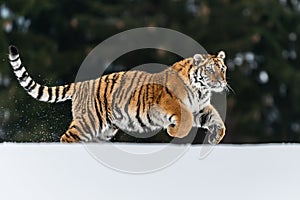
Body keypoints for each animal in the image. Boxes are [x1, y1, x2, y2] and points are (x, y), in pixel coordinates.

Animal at [8, 45, 229, 144]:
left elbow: (217, 120)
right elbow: (184, 119)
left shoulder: (201, 108)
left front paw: (215, 137)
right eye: (210, 70)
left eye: (223, 69)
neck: (201, 90)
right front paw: (173, 131)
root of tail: (82, 83)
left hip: (103, 131)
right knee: (67, 137)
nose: (221, 81)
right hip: (89, 122)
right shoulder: (171, 103)